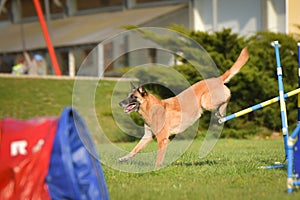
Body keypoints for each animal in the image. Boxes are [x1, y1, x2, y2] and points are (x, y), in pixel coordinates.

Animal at [119, 47, 248, 167]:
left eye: (133, 97)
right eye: (128, 96)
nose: (120, 103)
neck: (151, 108)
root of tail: (217, 79)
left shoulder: (162, 139)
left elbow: (158, 158)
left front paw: (156, 168)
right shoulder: (147, 136)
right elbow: (135, 149)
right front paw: (124, 158)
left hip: (205, 101)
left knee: (228, 95)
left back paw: (221, 111)